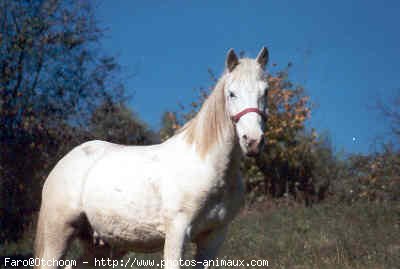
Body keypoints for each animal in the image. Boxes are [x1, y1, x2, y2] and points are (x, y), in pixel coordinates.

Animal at [34, 47, 270, 266]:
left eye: (265, 92)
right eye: (232, 93)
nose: (253, 141)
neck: (208, 166)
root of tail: (63, 163)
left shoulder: (213, 238)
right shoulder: (177, 232)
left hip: (100, 246)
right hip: (59, 233)